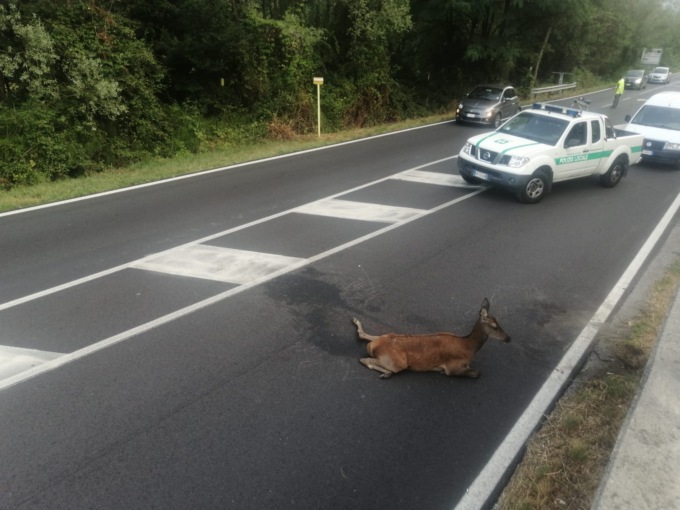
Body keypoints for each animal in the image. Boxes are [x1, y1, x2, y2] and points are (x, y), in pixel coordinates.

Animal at [352, 298, 510, 379]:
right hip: (397, 361)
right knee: (364, 359)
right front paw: (440, 370)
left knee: (366, 337)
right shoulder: (453, 368)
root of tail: (373, 346)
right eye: (495, 326)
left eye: (499, 323)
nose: (508, 338)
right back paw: (386, 373)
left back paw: (356, 321)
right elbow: (477, 373)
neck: (469, 347)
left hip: (386, 336)